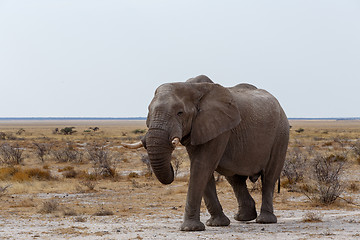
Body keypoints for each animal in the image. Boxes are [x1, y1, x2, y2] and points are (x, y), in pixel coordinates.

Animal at [122, 74, 288, 231]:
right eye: (148, 111)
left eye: (180, 113)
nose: (171, 168)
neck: (191, 86)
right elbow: (203, 169)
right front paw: (216, 224)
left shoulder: (219, 128)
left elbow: (202, 165)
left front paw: (190, 229)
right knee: (235, 180)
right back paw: (243, 217)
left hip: (281, 134)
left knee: (269, 177)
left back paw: (265, 220)